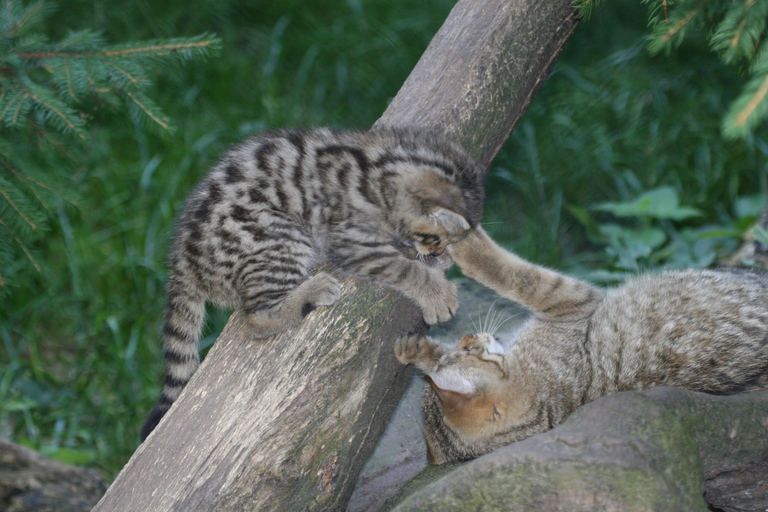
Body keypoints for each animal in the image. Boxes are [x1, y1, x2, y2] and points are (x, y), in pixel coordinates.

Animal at [140, 127, 484, 440]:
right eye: (437, 237)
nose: (438, 251)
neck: (376, 168)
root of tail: (182, 263)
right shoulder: (352, 241)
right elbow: (402, 268)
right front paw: (436, 290)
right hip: (277, 237)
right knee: (255, 318)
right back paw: (312, 290)